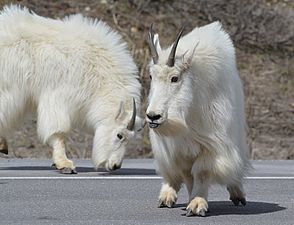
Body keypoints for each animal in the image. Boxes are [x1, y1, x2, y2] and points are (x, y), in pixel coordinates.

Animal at [147, 22, 250, 216]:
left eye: (175, 78)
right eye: (151, 76)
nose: (153, 117)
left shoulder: (212, 144)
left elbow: (201, 172)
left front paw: (196, 205)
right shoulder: (178, 149)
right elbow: (188, 176)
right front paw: (191, 201)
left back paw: (238, 194)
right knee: (170, 173)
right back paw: (165, 197)